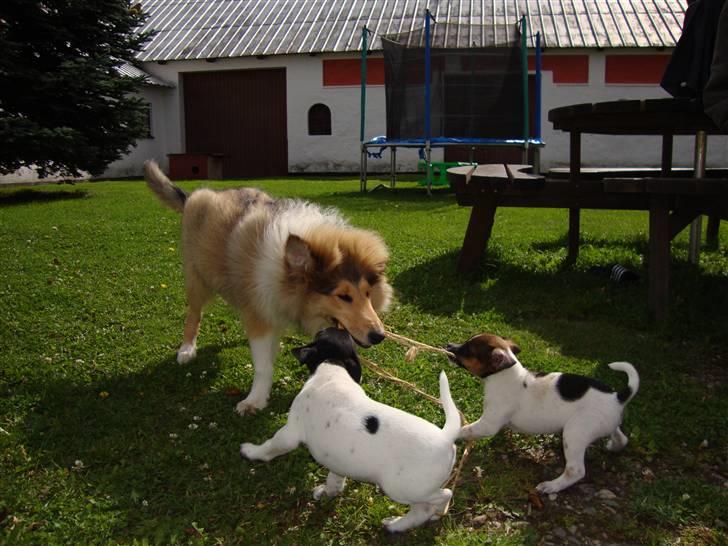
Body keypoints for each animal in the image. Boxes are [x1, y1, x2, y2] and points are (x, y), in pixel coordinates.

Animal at [144, 162, 392, 412]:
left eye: (368, 293)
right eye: (343, 296)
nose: (379, 336)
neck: (283, 270)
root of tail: (195, 196)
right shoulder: (259, 314)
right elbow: (263, 365)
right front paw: (254, 401)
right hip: (196, 277)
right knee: (194, 314)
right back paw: (186, 350)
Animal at [240, 326, 460, 528]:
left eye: (320, 333)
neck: (333, 367)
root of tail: (446, 437)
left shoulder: (290, 432)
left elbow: (270, 446)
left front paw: (250, 450)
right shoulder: (338, 460)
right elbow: (335, 478)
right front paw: (328, 491)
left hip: (403, 487)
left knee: (442, 496)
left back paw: (413, 519)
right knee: (425, 507)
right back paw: (405, 522)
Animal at [446, 332, 640, 492]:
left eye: (468, 349)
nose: (448, 345)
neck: (505, 376)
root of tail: (617, 397)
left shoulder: (488, 424)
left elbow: (466, 429)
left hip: (574, 434)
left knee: (576, 471)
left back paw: (551, 486)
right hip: (606, 424)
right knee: (621, 436)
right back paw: (614, 446)